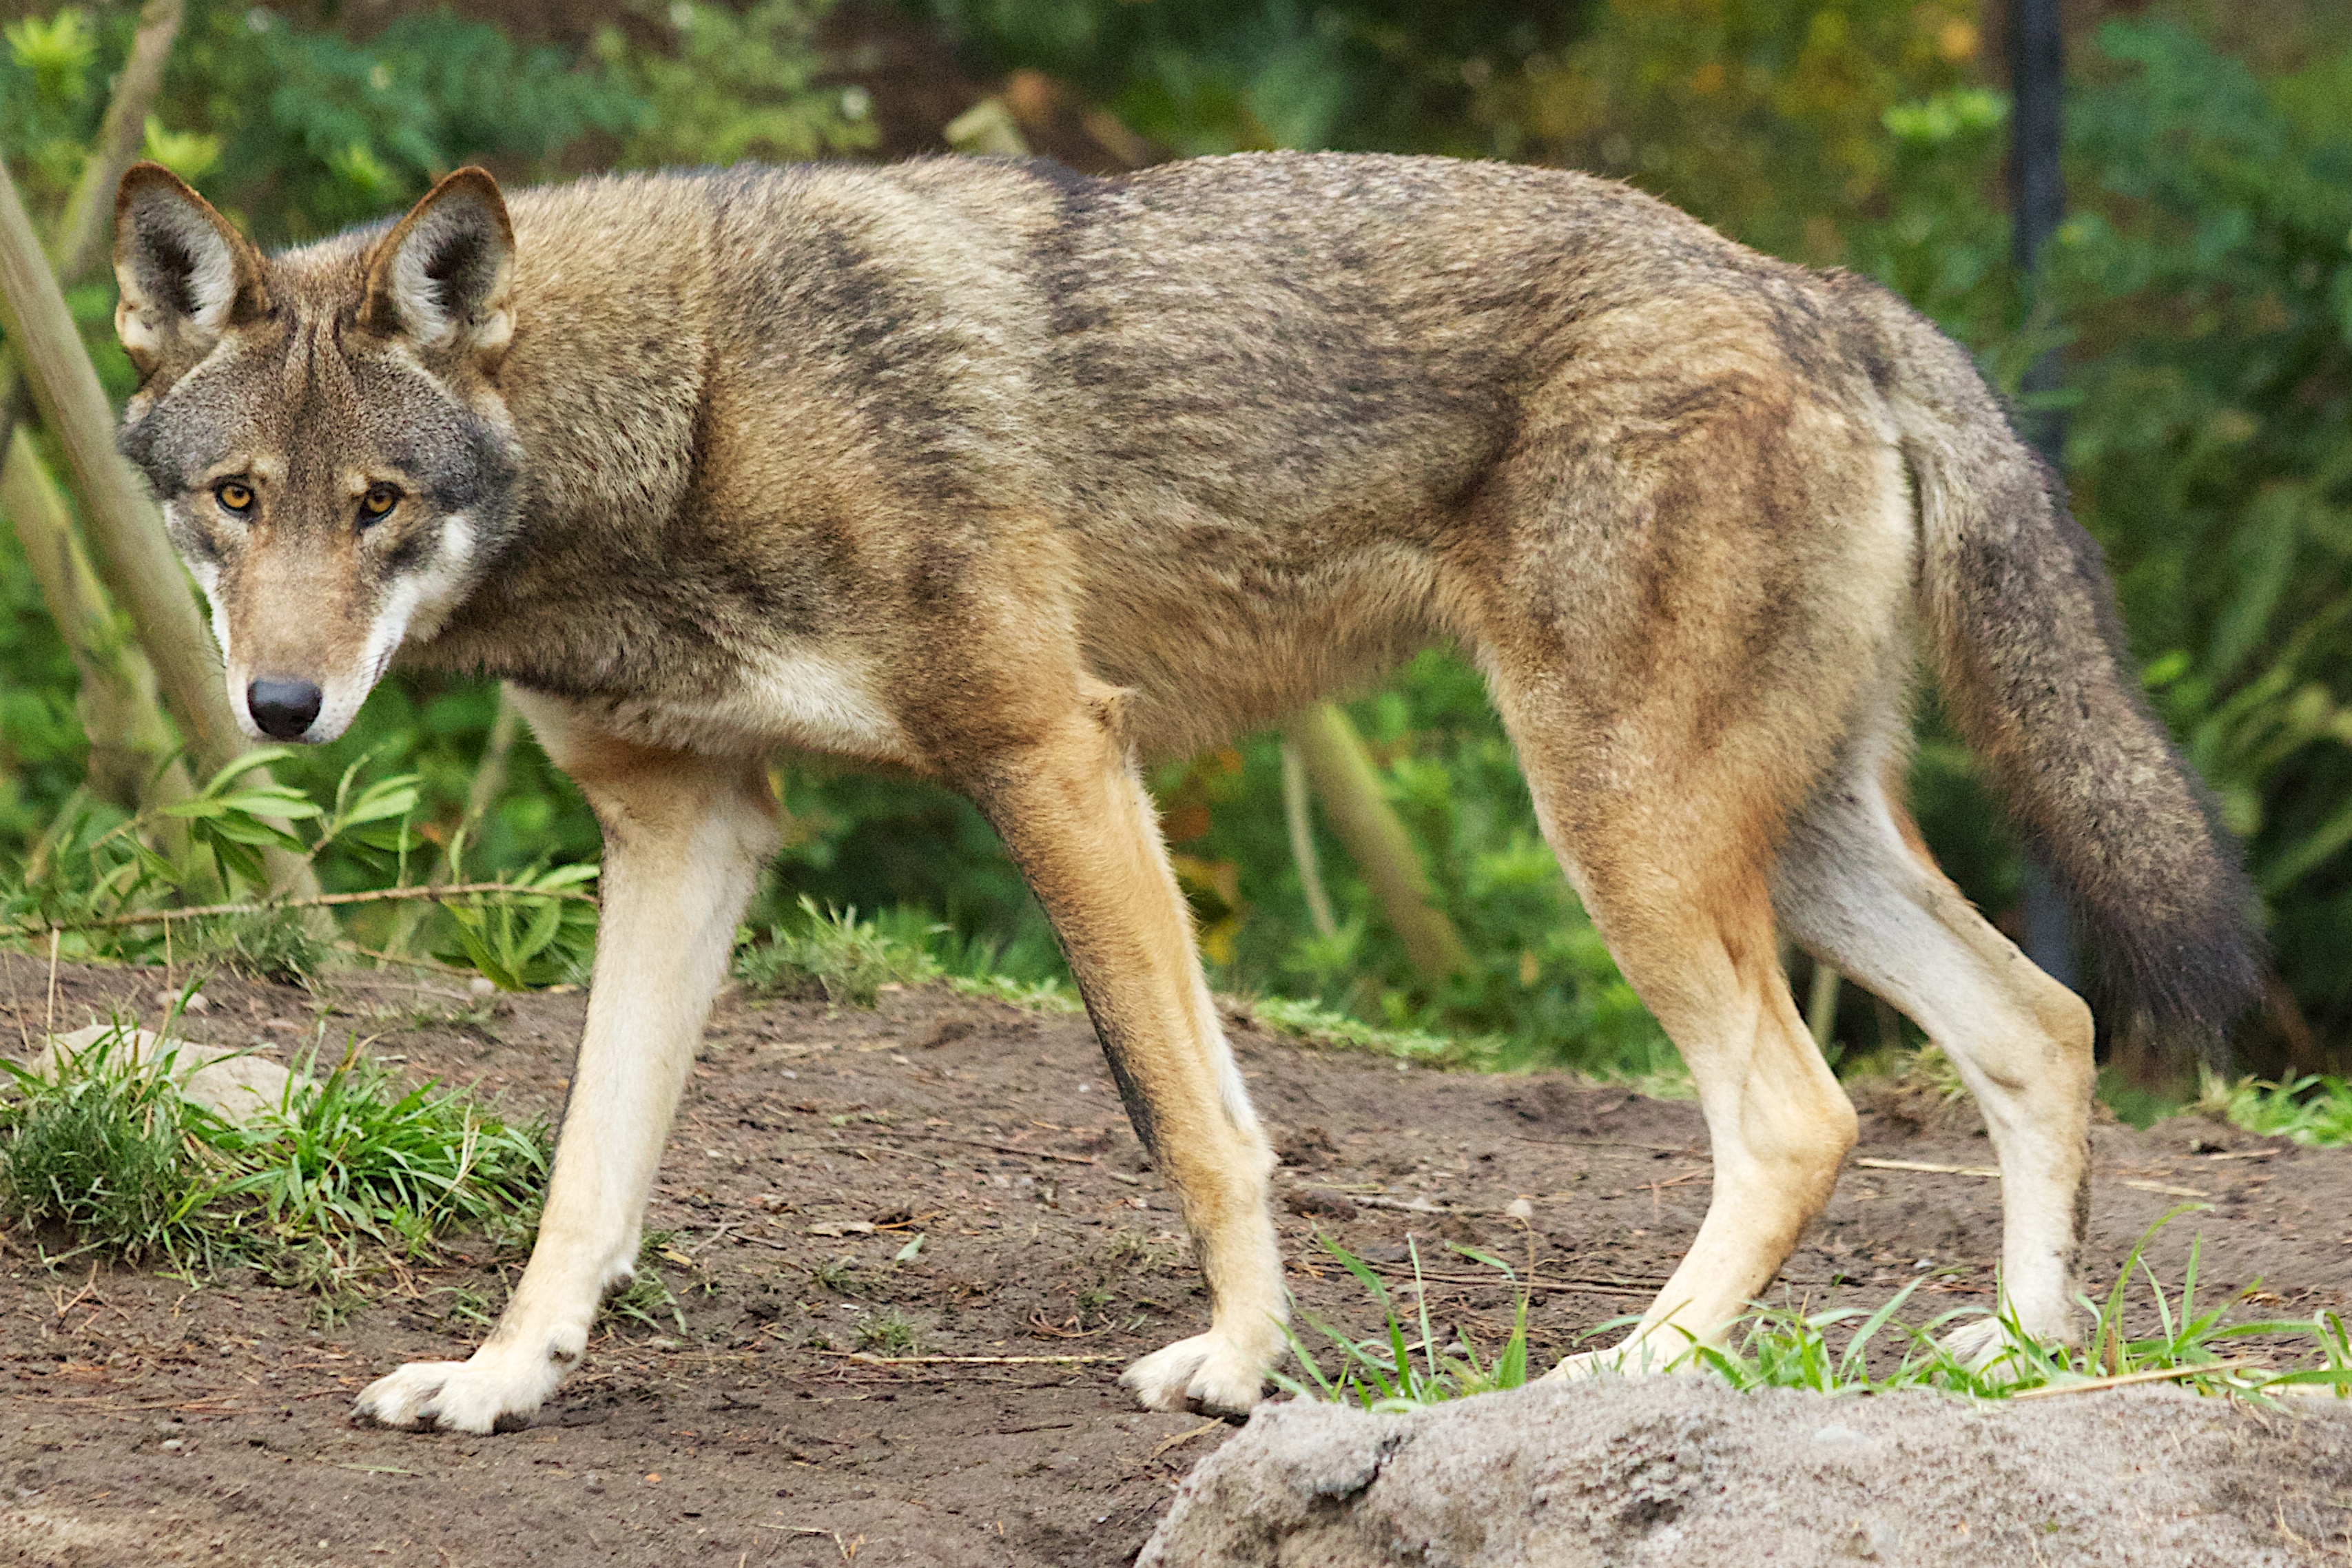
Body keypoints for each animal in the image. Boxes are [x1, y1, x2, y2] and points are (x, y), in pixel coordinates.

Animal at [114, 150, 2258, 1438]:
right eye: (238, 499)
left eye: (376, 506)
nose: (280, 706)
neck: (690, 406)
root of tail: (1820, 288)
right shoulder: (685, 829)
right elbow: (585, 1171)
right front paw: (498, 1381)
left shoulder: (1057, 753)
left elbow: (1191, 1117)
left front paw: (1238, 1365)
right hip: (1777, 842)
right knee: (2041, 1022)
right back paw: (2020, 1352)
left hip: (1628, 835)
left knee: (1802, 1111)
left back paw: (1635, 1367)